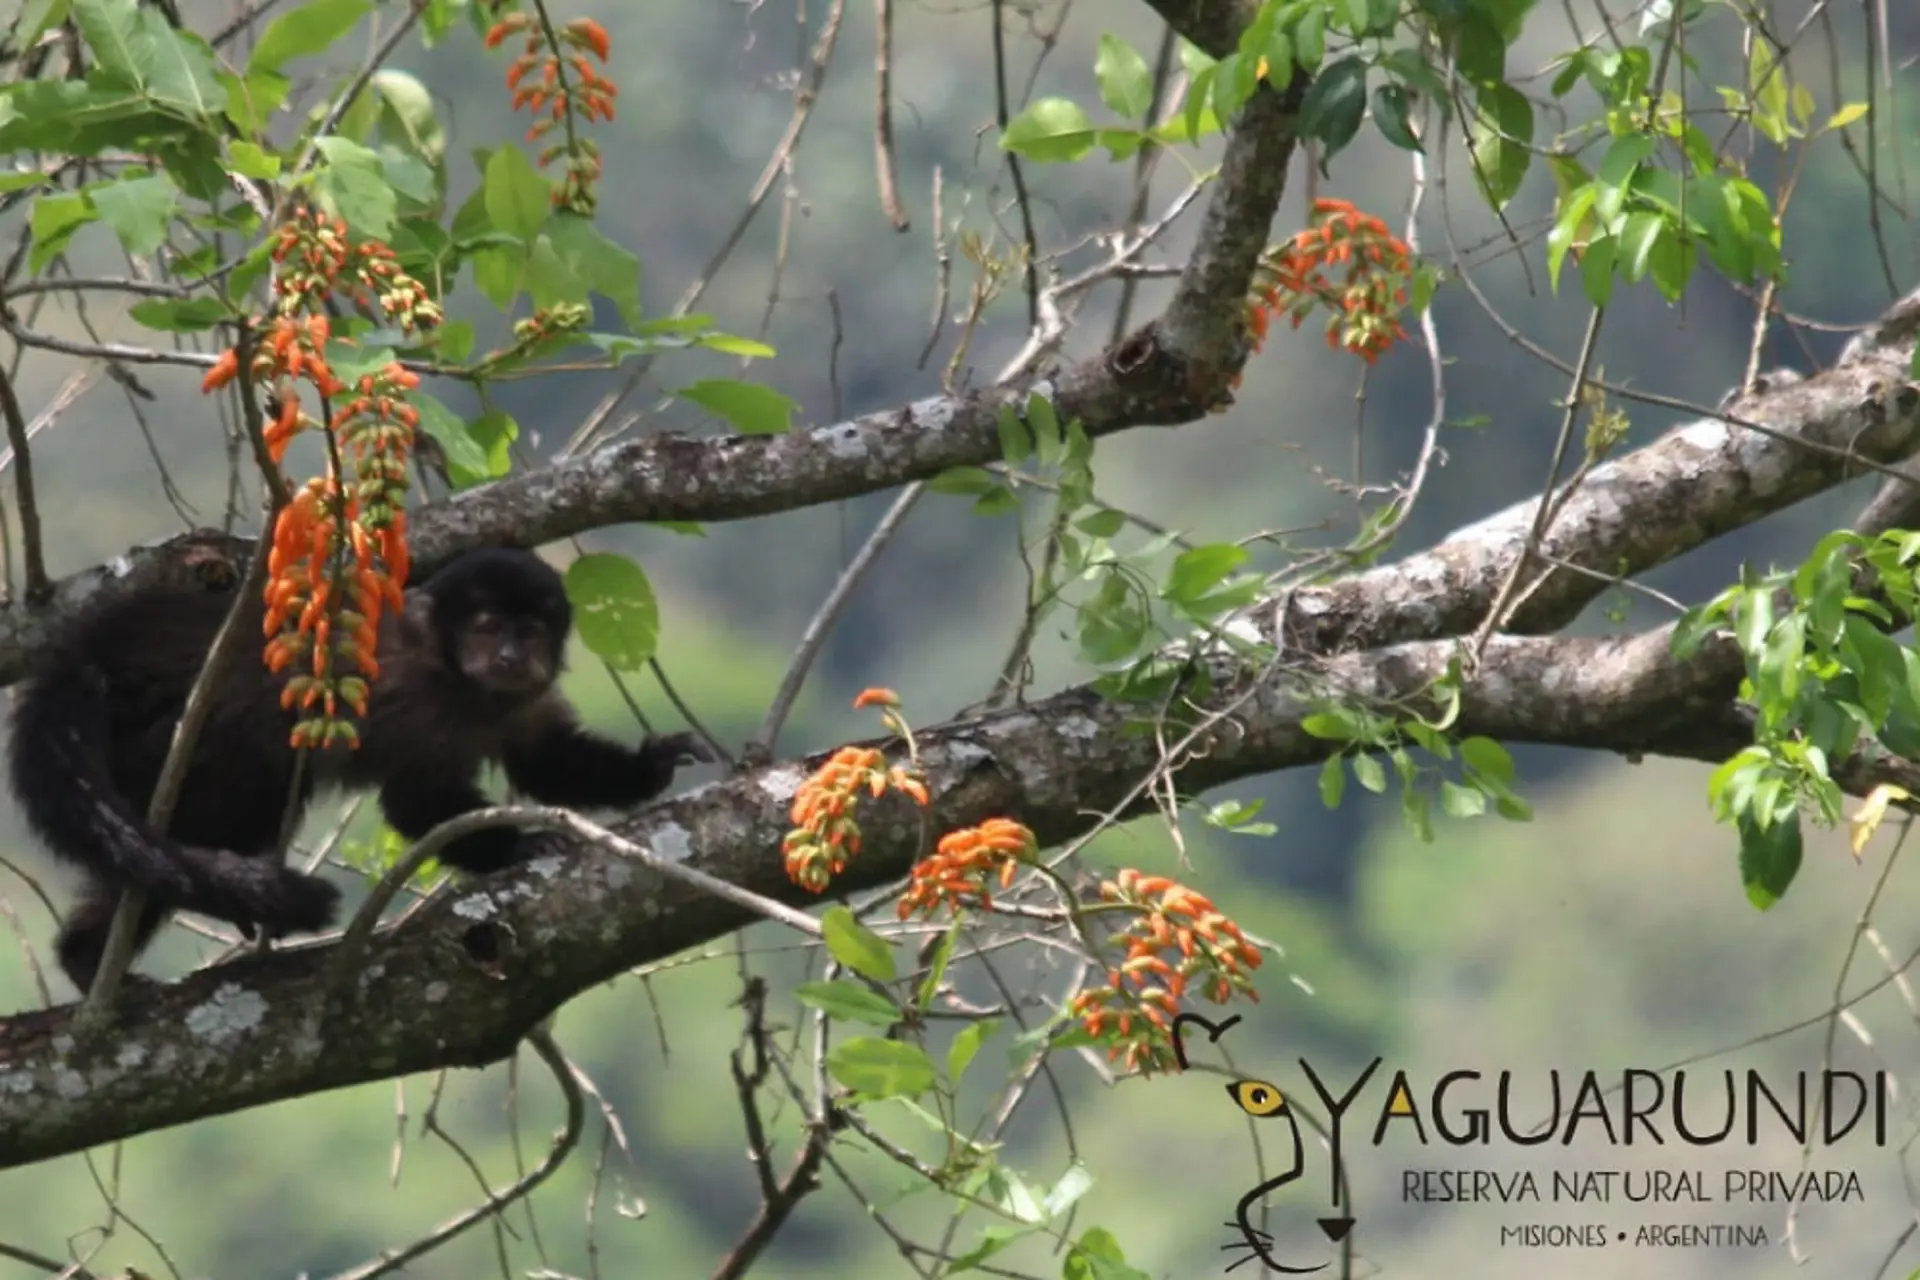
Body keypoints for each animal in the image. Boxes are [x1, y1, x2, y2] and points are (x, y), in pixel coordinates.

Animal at [7, 545, 714, 997]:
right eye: (489, 628)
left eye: (533, 630)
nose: (513, 655)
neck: (460, 683)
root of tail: (94, 650)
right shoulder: (407, 697)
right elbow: (416, 803)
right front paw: (514, 847)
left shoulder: (524, 702)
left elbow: (550, 760)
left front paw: (650, 768)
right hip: (160, 737)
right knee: (237, 784)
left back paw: (89, 955)